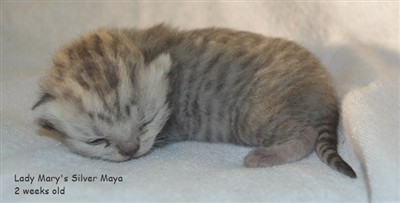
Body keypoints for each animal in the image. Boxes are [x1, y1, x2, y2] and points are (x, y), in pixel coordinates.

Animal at [32, 25, 356, 178]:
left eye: (145, 122)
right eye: (97, 140)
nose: (131, 151)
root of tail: (326, 89)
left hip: (257, 115)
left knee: (306, 135)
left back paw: (263, 156)